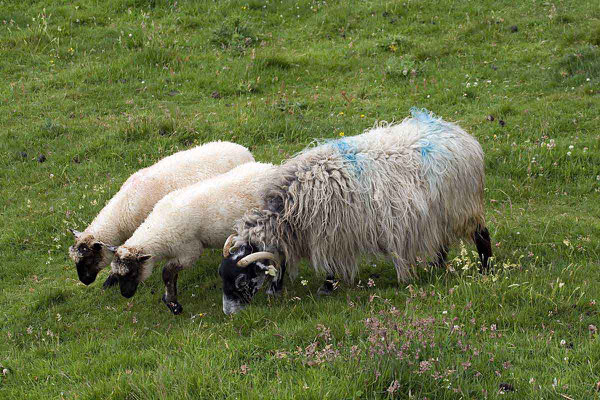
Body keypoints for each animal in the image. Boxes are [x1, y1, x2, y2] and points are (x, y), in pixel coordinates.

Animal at [108, 161, 276, 314]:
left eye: (132, 273)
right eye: (116, 274)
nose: (125, 294)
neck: (158, 229)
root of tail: (270, 168)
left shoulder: (189, 253)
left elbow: (167, 273)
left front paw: (173, 303)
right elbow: (172, 276)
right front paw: (171, 300)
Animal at [220, 109, 492, 316]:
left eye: (242, 280)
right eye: (222, 276)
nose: (229, 313)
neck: (290, 207)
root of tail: (461, 134)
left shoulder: (331, 234)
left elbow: (330, 265)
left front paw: (327, 286)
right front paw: (276, 289)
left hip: (462, 206)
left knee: (482, 234)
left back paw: (485, 269)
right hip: (439, 213)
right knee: (440, 239)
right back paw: (436, 266)